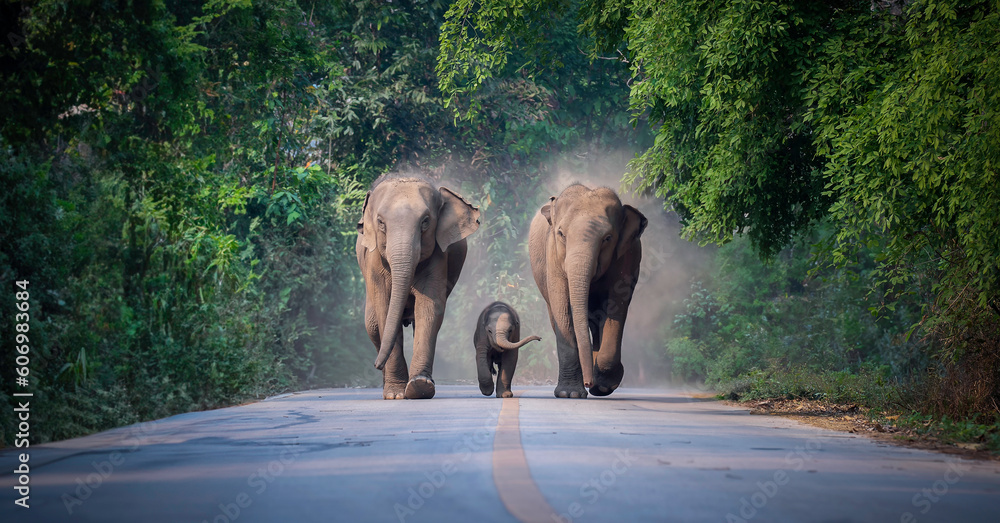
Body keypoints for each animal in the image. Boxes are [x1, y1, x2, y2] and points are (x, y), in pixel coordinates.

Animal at [356, 173, 480, 399]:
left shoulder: (439, 256)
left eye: (425, 221)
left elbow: (429, 308)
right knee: (373, 325)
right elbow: (384, 310)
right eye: (381, 222)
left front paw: (420, 387)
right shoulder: (374, 260)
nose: (375, 364)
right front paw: (395, 394)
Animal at [528, 183, 647, 398]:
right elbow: (562, 308)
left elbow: (616, 307)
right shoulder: (552, 254)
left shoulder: (627, 257)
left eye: (608, 238)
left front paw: (604, 386)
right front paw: (569, 394)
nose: (588, 382)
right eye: (561, 234)